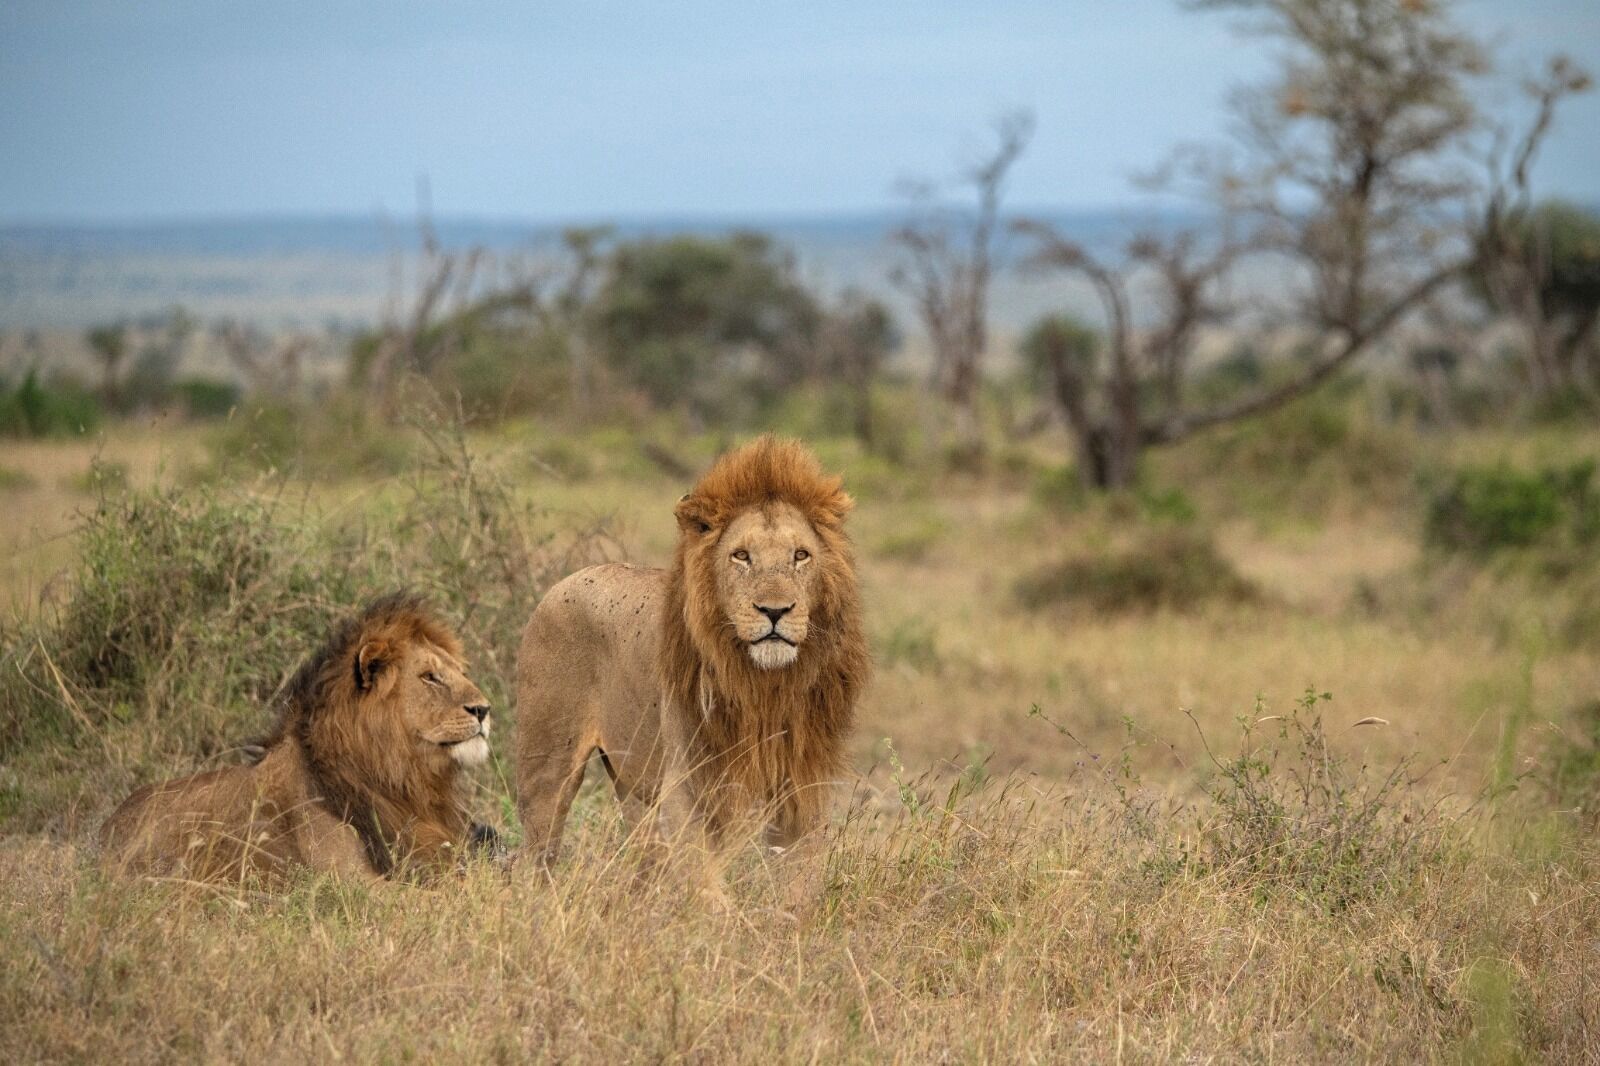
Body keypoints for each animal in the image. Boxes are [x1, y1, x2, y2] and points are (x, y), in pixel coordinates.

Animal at [100, 593, 494, 884]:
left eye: (461, 673)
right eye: (429, 677)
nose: (484, 709)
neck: (405, 782)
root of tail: (103, 834)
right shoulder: (352, 883)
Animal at [516, 435, 869, 874]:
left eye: (800, 555)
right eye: (741, 555)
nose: (774, 611)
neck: (765, 686)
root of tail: (569, 578)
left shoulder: (803, 786)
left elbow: (799, 877)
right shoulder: (688, 785)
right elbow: (704, 882)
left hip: (634, 785)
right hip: (547, 769)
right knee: (537, 855)